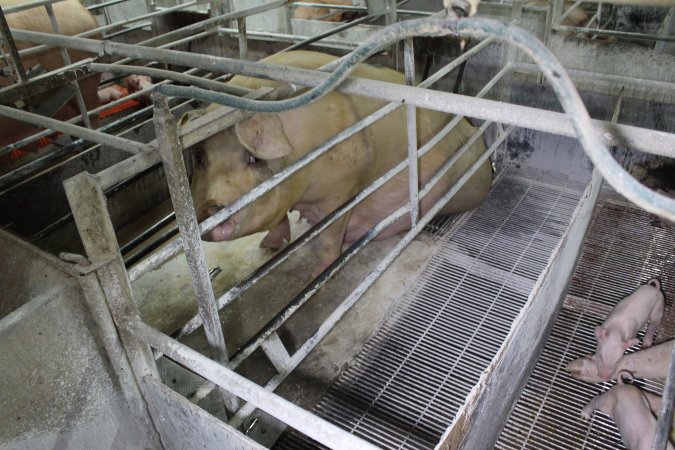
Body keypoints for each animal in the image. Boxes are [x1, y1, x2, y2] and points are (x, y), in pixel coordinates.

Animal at [187, 51, 494, 278]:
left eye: (253, 158)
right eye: (200, 159)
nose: (210, 209)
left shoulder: (342, 191)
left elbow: (328, 238)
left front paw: (317, 275)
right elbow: (279, 218)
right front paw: (268, 248)